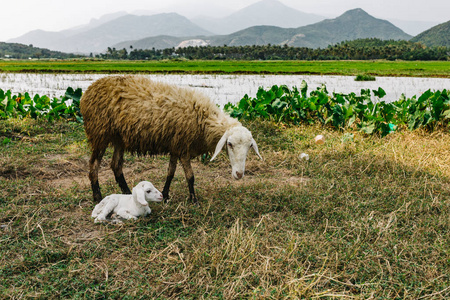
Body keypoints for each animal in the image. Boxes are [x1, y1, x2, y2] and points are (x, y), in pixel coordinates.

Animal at [81, 75, 264, 204]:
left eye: (249, 147)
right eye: (229, 144)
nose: (239, 174)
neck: (203, 120)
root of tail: (87, 92)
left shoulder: (176, 146)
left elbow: (170, 172)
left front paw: (165, 194)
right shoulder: (183, 147)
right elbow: (190, 176)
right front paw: (193, 200)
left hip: (119, 138)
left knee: (116, 165)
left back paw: (126, 192)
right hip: (99, 132)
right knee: (94, 164)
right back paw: (97, 196)